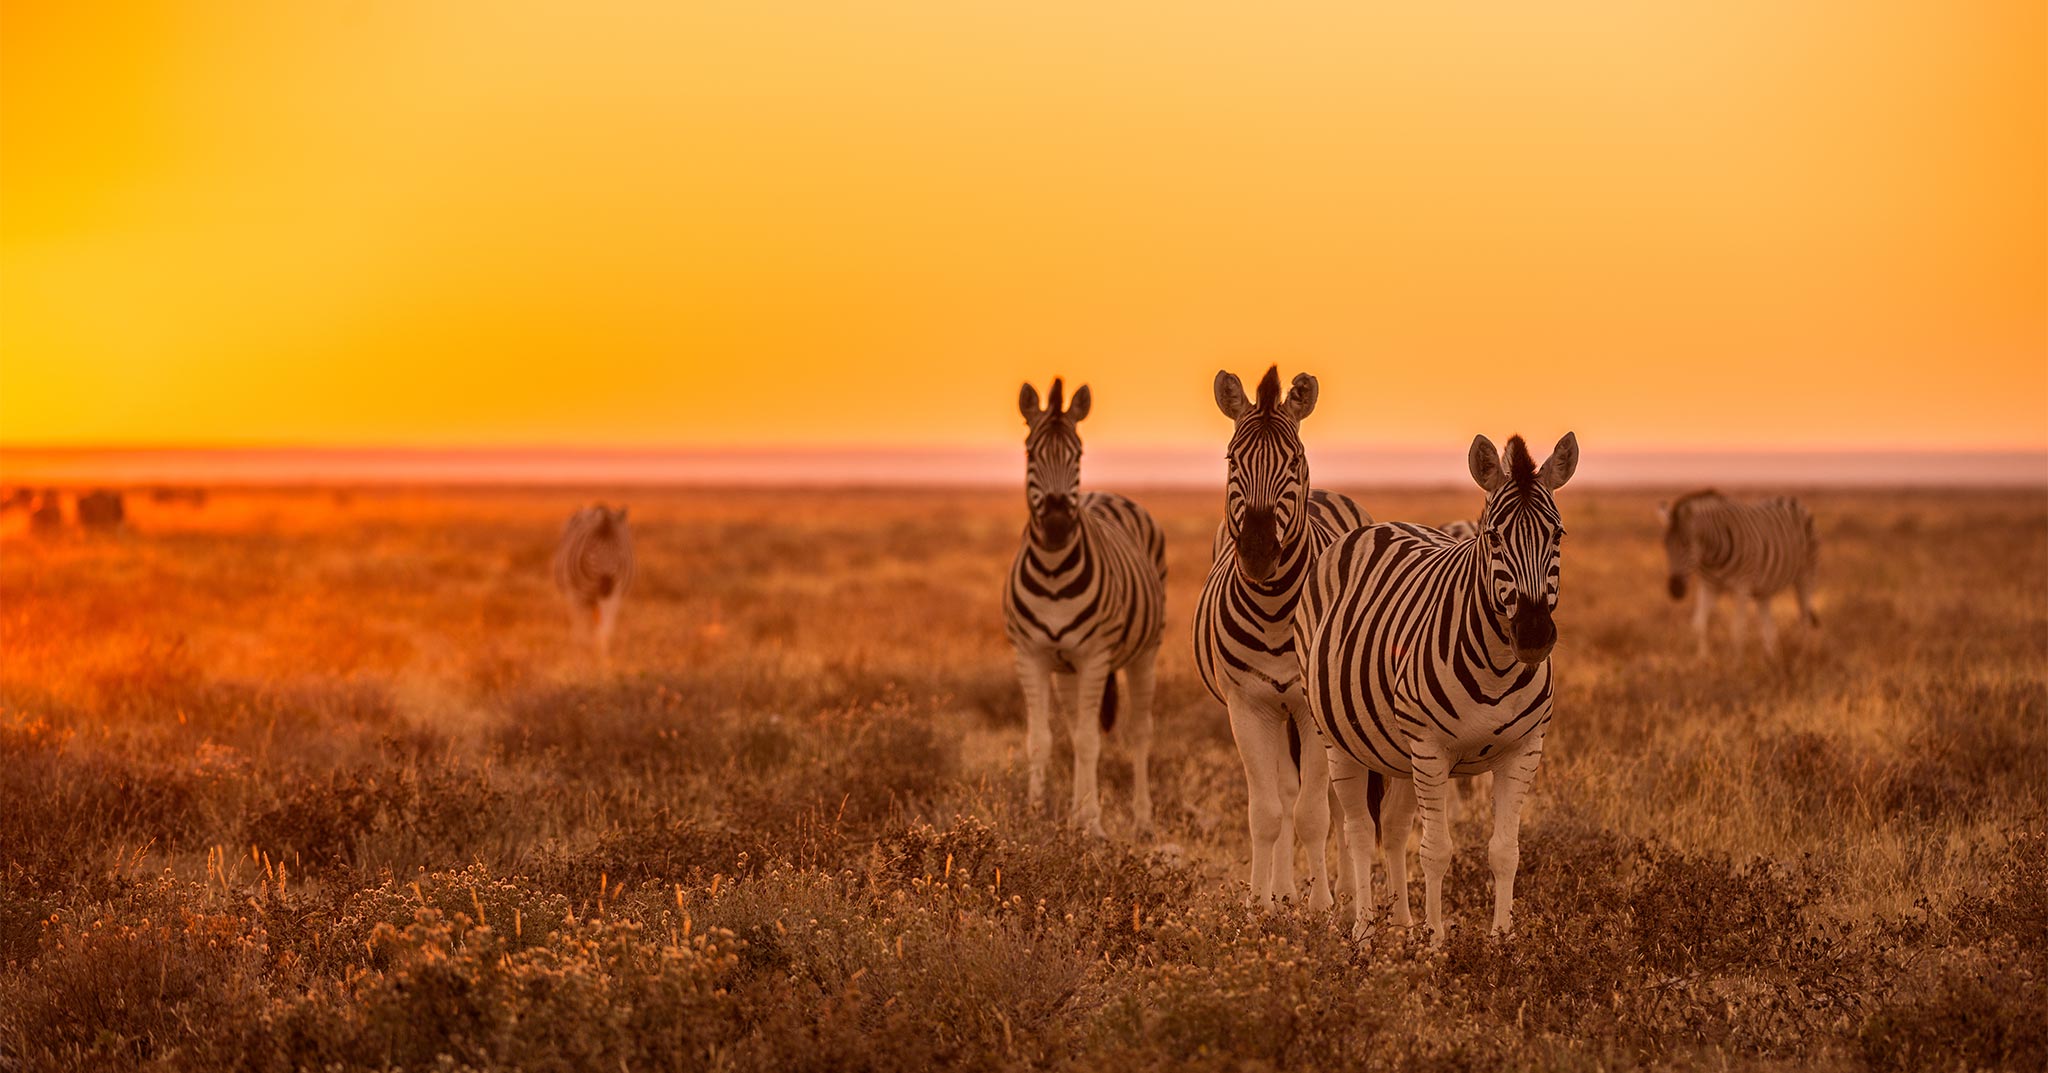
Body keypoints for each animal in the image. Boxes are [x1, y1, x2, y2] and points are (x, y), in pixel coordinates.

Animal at [552, 503, 630, 663]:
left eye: (618, 549)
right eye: (592, 550)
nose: (606, 587)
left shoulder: (614, 596)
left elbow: (605, 631)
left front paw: (603, 659)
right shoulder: (575, 596)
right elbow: (581, 632)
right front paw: (581, 657)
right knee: (580, 626)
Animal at [995, 376, 1163, 839]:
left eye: (1079, 454)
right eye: (1030, 452)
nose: (1055, 526)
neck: (1054, 571)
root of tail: (1104, 493)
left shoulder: (1094, 656)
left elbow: (1091, 741)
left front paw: (1093, 823)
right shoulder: (1030, 654)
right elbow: (1042, 740)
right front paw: (1037, 814)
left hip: (1144, 652)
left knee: (1139, 731)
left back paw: (1142, 821)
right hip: (1066, 668)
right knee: (1074, 728)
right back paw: (1073, 811)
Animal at [1187, 364, 1376, 909]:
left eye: (1293, 460)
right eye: (1232, 459)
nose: (1256, 553)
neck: (1274, 611)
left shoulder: (1311, 711)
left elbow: (1314, 813)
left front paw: (1324, 908)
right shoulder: (1248, 706)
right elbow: (1267, 812)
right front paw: (1260, 904)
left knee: (1334, 802)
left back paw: (1343, 892)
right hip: (1277, 710)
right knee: (1287, 792)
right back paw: (1286, 891)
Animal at [1294, 427, 1581, 937]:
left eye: (1558, 534)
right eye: (1493, 537)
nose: (1532, 635)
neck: (1498, 666)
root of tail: (1380, 525)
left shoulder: (1524, 750)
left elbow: (1505, 851)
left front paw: (1502, 940)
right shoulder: (1431, 749)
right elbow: (1436, 852)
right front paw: (1435, 943)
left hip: (1397, 749)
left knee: (1392, 825)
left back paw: (1401, 926)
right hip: (1340, 740)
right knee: (1359, 831)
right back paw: (1363, 930)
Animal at [1662, 487, 1826, 655]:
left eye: (1686, 544)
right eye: (1665, 545)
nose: (1675, 590)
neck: (1712, 557)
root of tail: (1793, 501)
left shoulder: (1741, 587)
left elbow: (1738, 630)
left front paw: (1736, 662)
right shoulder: (1709, 586)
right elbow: (1699, 624)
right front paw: (1702, 658)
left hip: (1807, 574)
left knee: (1805, 618)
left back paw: (1802, 656)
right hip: (1764, 590)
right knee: (1769, 629)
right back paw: (1769, 659)